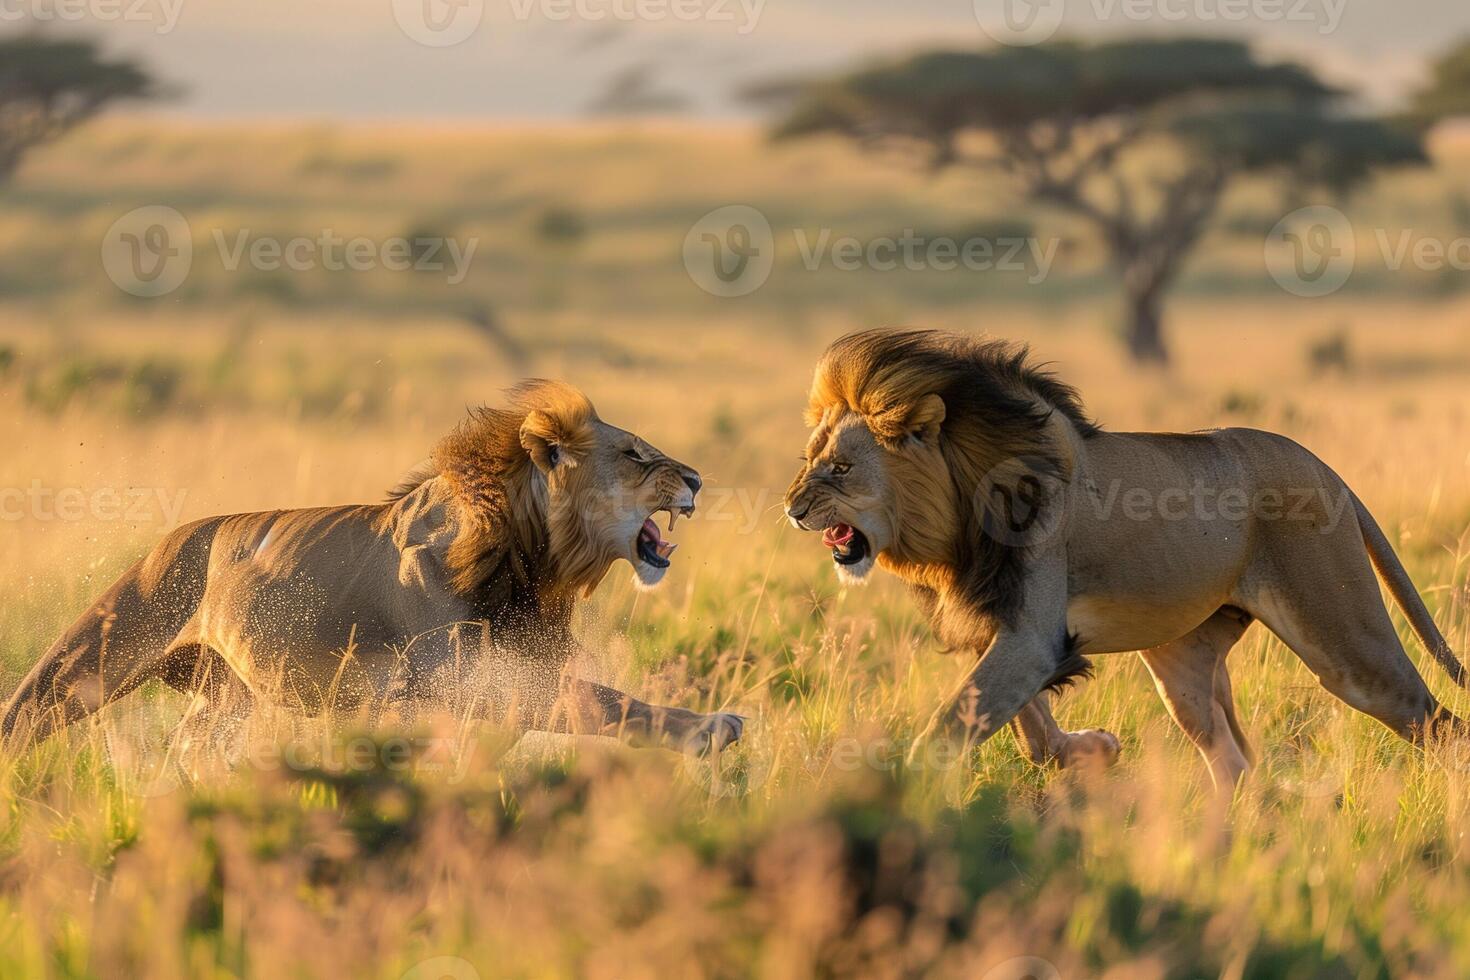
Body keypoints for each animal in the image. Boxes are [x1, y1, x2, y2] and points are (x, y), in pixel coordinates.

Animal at [0, 379, 746, 758]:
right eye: (636, 455)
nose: (697, 479)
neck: (533, 559)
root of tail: (174, 537)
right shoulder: (462, 677)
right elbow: (603, 701)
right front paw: (710, 728)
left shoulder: (512, 666)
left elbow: (589, 702)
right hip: (90, 658)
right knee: (24, 715)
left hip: (224, 699)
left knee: (184, 757)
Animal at [787, 329, 1464, 787]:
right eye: (808, 460)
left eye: (841, 469)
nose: (792, 509)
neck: (951, 523)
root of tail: (1326, 467)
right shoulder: (1001, 631)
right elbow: (1030, 734)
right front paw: (1096, 748)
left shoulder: (1031, 635)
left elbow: (947, 729)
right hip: (1183, 664)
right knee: (1234, 761)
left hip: (1345, 641)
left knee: (1438, 722)